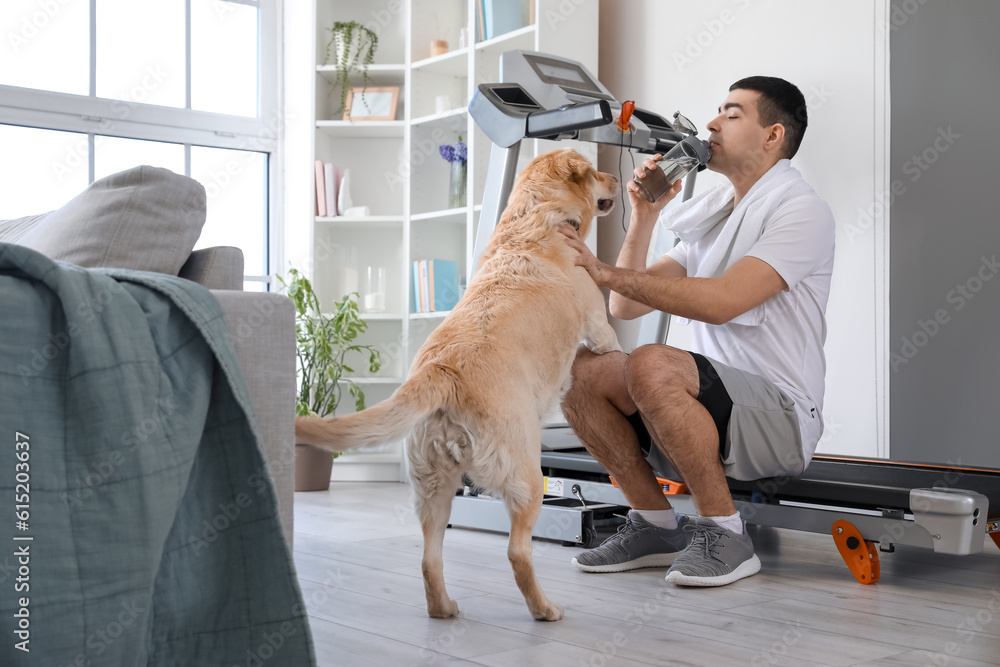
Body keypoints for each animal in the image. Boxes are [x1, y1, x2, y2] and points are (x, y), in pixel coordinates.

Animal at [292, 150, 620, 620]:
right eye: (595, 173)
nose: (617, 178)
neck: (535, 216)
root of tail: (441, 372)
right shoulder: (596, 321)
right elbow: (610, 340)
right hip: (526, 476)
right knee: (517, 553)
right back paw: (544, 609)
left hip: (431, 485)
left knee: (429, 559)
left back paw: (443, 607)